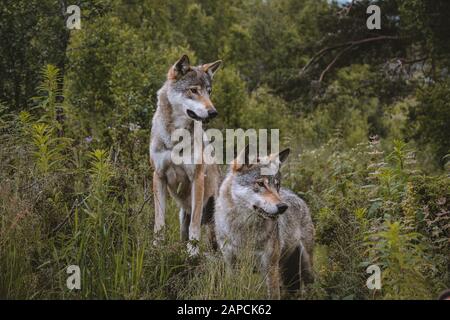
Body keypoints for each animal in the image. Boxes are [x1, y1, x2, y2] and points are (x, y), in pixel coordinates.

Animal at [150, 55, 222, 255]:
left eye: (209, 92)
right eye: (194, 90)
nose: (213, 112)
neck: (174, 139)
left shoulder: (197, 178)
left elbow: (195, 224)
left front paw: (192, 252)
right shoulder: (158, 176)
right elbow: (159, 222)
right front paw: (157, 247)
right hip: (182, 213)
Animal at [215, 146, 314, 298]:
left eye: (277, 185)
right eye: (261, 183)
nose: (283, 207)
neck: (244, 229)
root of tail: (297, 196)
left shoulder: (270, 267)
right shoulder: (231, 264)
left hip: (305, 266)